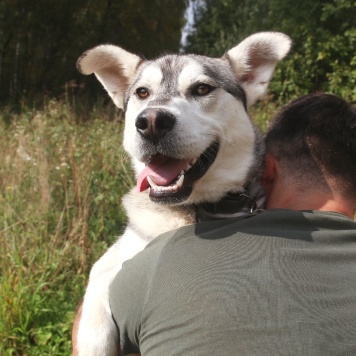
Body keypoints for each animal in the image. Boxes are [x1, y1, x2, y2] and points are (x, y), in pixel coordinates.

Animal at [76, 32, 292, 354]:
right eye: (142, 93)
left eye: (202, 88)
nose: (152, 122)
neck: (189, 212)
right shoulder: (117, 255)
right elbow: (97, 280)